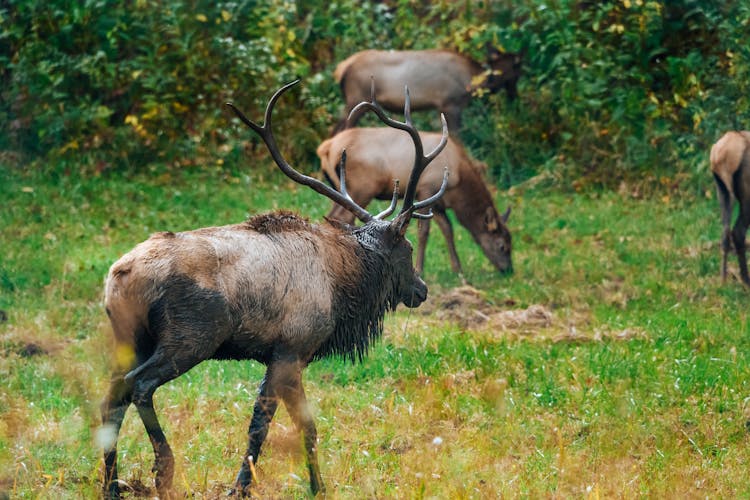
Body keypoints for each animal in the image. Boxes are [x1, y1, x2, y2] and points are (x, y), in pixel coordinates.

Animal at [100, 80, 452, 498]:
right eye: (408, 249)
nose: (422, 289)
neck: (343, 286)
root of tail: (118, 276)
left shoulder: (273, 354)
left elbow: (280, 425)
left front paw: (278, 485)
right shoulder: (291, 349)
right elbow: (286, 426)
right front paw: (285, 487)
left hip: (129, 338)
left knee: (110, 399)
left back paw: (111, 483)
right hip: (189, 338)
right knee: (138, 386)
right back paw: (163, 471)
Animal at [314, 127, 516, 278]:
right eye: (502, 246)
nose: (508, 270)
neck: (457, 182)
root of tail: (326, 148)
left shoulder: (438, 202)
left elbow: (448, 229)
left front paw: (458, 269)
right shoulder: (426, 188)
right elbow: (424, 231)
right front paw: (420, 268)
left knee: (333, 215)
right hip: (362, 187)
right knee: (342, 215)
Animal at [334, 44, 524, 134]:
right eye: (517, 70)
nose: (515, 97)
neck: (472, 81)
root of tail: (342, 69)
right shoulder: (450, 103)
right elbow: (457, 137)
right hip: (356, 98)